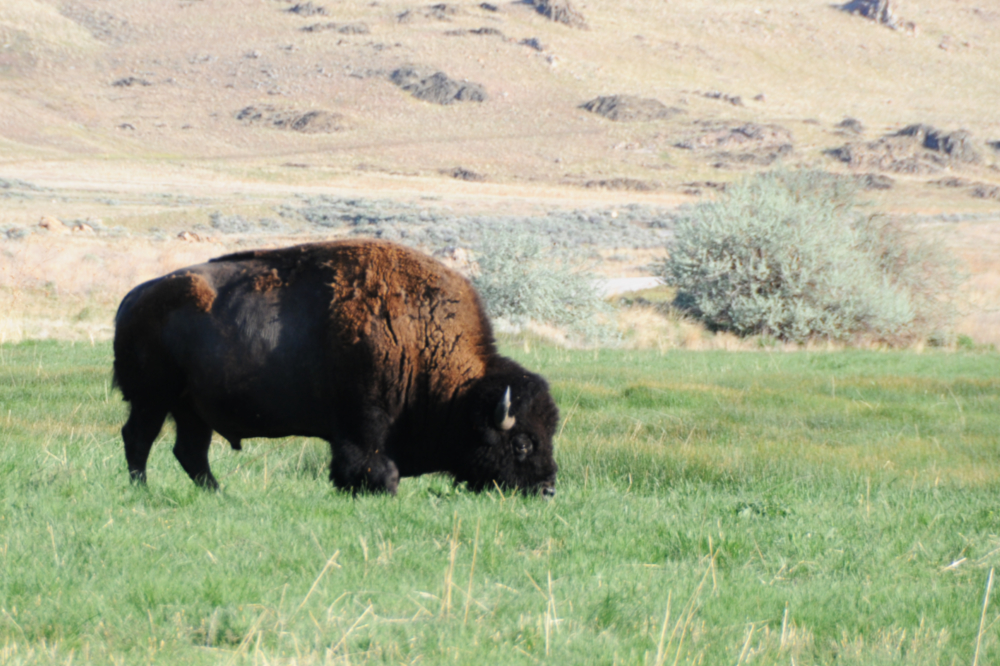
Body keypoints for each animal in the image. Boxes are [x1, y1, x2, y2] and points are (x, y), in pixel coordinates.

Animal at [112, 239, 559, 496]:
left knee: (189, 451)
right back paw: (141, 491)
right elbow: (374, 465)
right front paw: (376, 490)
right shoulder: (364, 422)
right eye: (522, 443)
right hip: (152, 399)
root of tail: (134, 297)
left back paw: (218, 493)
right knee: (139, 438)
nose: (548, 489)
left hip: (192, 408)